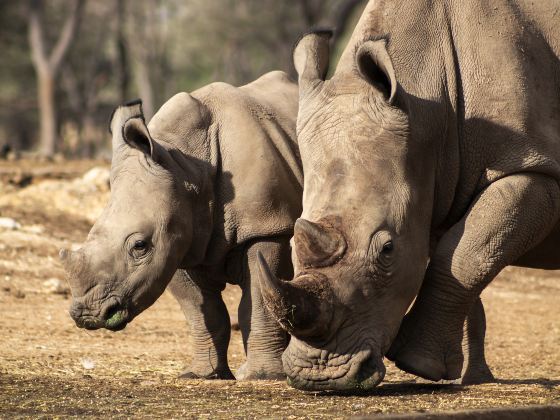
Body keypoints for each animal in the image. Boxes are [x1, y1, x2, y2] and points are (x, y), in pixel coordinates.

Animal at [60, 72, 302, 380]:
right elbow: (201, 311)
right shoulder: (177, 242)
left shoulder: (265, 227)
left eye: (140, 246)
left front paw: (261, 376)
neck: (186, 166)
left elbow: (258, 301)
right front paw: (202, 375)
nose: (87, 316)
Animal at [258, 0, 560, 390]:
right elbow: (463, 260)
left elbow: (465, 257)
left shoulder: (531, 166)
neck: (427, 107)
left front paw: (418, 364)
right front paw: (469, 377)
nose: (320, 377)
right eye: (294, 244)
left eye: (387, 250)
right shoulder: (433, 188)